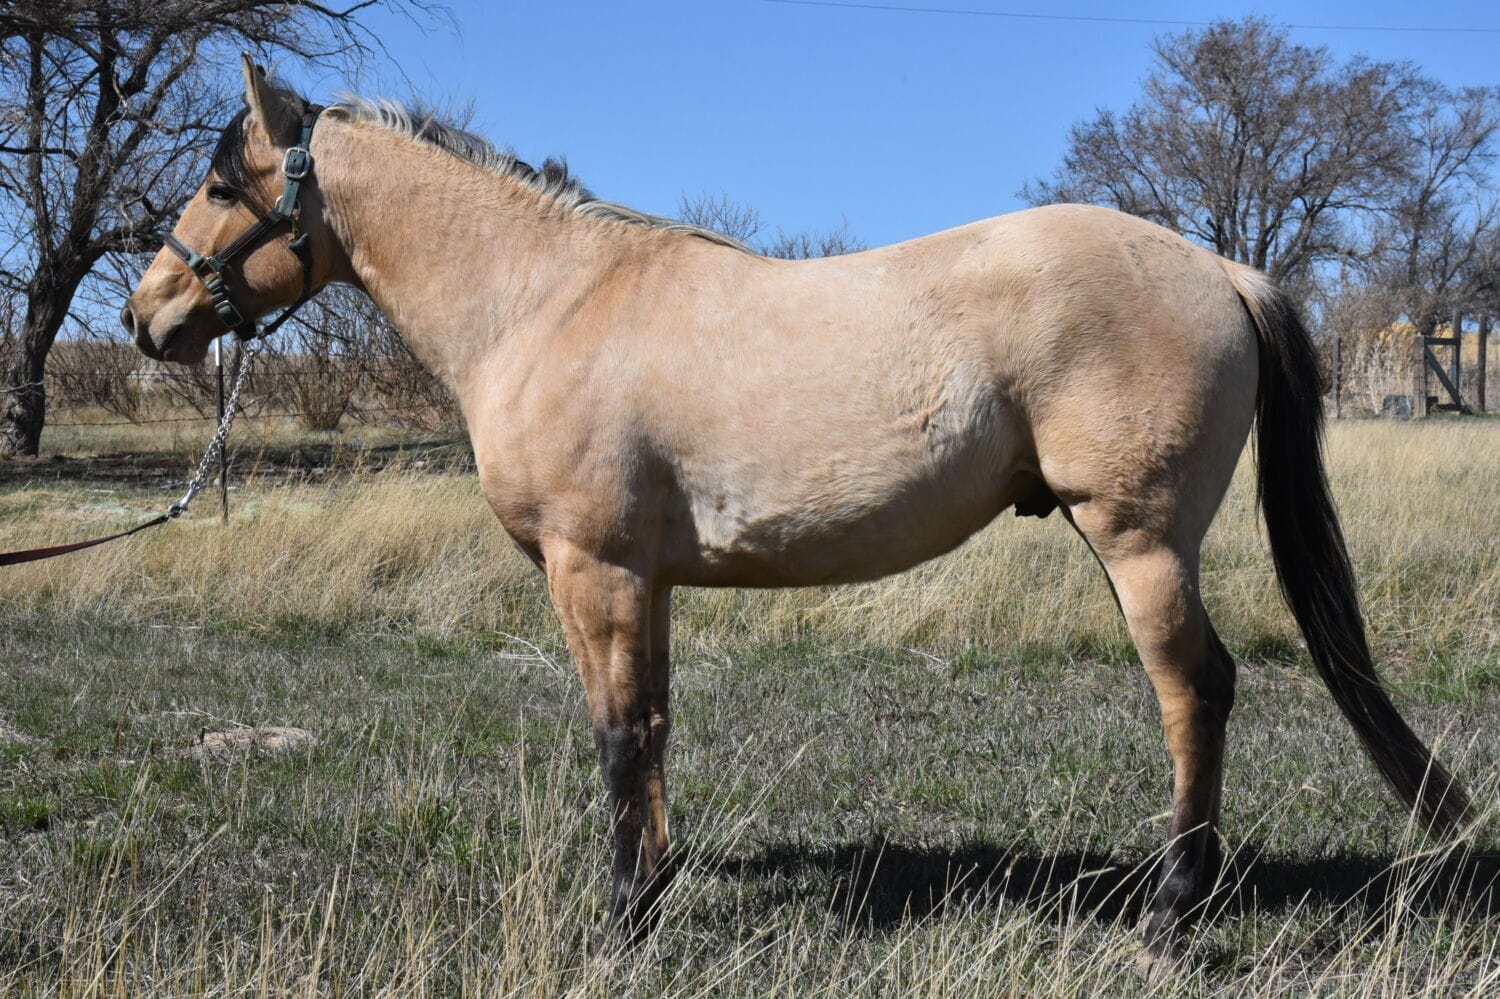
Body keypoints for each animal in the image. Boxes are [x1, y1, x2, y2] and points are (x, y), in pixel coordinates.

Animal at [122, 57, 1472, 968]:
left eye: (216, 181)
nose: (147, 318)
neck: (547, 301)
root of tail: (1218, 266)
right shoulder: (645, 583)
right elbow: (654, 729)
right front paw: (656, 890)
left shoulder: (593, 571)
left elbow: (617, 739)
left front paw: (622, 925)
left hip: (1139, 542)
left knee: (1196, 691)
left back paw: (1170, 913)